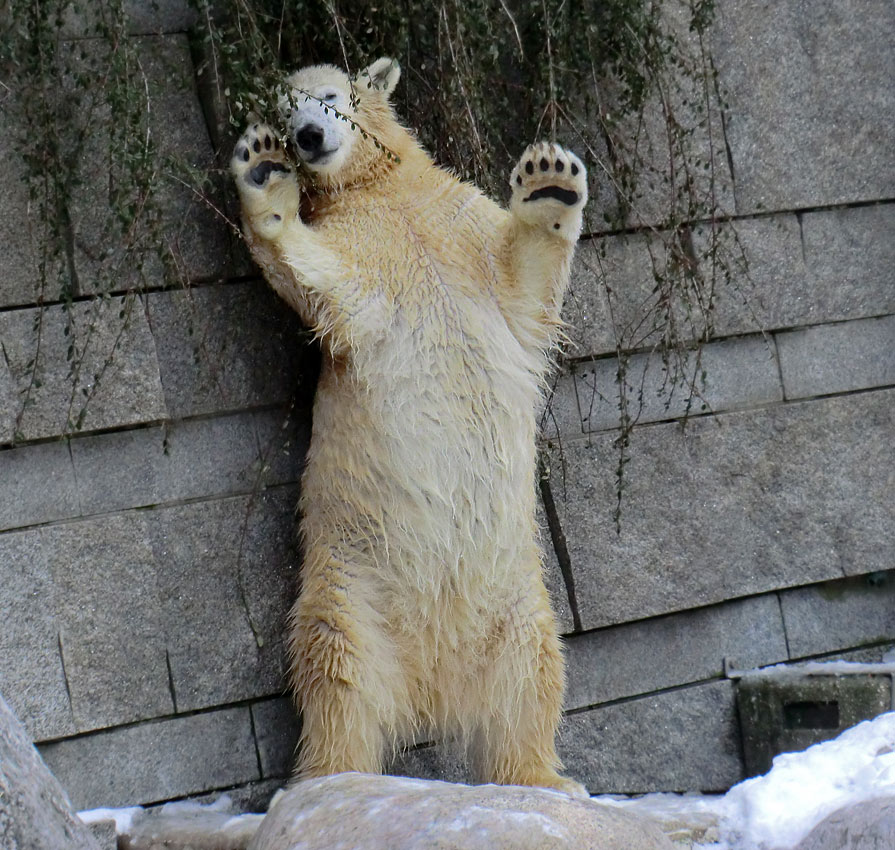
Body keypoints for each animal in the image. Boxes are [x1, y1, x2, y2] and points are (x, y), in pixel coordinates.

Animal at [231, 54, 588, 796]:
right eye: (282, 111)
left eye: (329, 98)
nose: (304, 138)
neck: (386, 191)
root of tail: (433, 680)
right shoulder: (363, 254)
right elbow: (330, 284)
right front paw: (263, 172)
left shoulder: (456, 224)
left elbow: (523, 287)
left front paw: (548, 183)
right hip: (348, 583)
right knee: (338, 677)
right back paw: (332, 777)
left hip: (516, 595)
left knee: (531, 674)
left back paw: (539, 777)